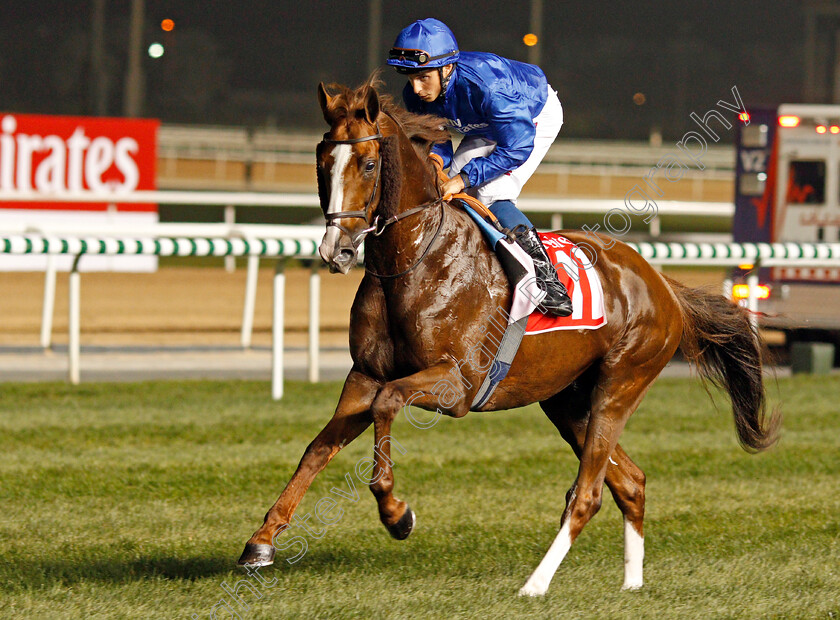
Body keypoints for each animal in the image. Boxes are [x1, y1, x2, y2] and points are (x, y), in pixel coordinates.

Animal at [238, 78, 780, 596]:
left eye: (369, 164)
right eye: (320, 162)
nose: (338, 250)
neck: (414, 258)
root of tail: (663, 285)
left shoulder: (456, 384)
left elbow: (388, 403)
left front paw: (396, 513)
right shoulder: (365, 374)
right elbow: (318, 447)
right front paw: (261, 541)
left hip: (619, 385)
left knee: (588, 494)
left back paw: (535, 585)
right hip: (566, 400)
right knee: (630, 482)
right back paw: (632, 582)